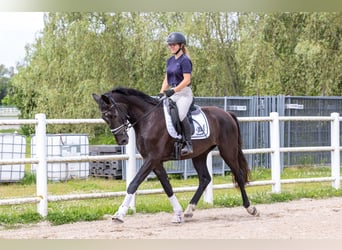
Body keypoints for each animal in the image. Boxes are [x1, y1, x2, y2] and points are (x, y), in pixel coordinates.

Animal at [92, 87, 258, 223]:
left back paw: (250, 208)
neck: (148, 119)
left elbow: (134, 183)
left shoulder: (152, 159)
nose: (122, 140)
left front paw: (119, 214)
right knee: (205, 178)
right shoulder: (155, 162)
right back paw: (189, 210)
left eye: (113, 115)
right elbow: (167, 187)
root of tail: (227, 113)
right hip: (199, 154)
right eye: (104, 117)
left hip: (227, 150)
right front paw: (178, 213)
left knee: (238, 175)